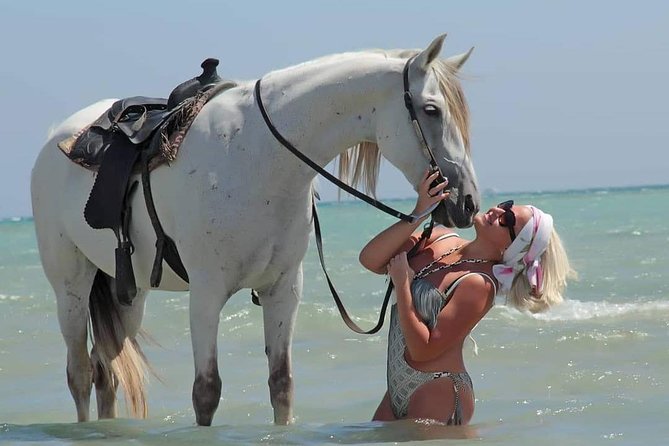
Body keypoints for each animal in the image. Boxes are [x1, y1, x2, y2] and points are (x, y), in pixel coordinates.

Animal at [30, 34, 480, 426]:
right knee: (80, 373)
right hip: (71, 287)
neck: (259, 156)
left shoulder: (284, 289)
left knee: (105, 374)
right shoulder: (206, 293)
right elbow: (206, 391)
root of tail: (57, 138)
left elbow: (281, 384)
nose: (468, 202)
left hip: (129, 293)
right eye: (432, 110)